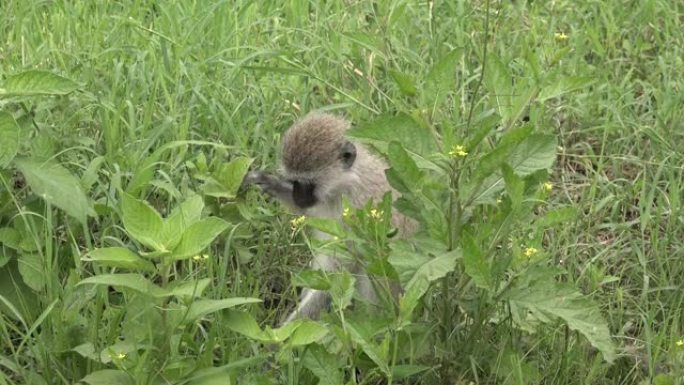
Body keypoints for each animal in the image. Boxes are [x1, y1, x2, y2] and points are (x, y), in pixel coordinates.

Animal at [244, 112, 416, 324]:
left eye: (307, 183)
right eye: (294, 182)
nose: (297, 197)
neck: (345, 184)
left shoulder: (357, 210)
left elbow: (340, 271)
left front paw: (283, 331)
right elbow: (309, 212)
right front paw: (269, 182)